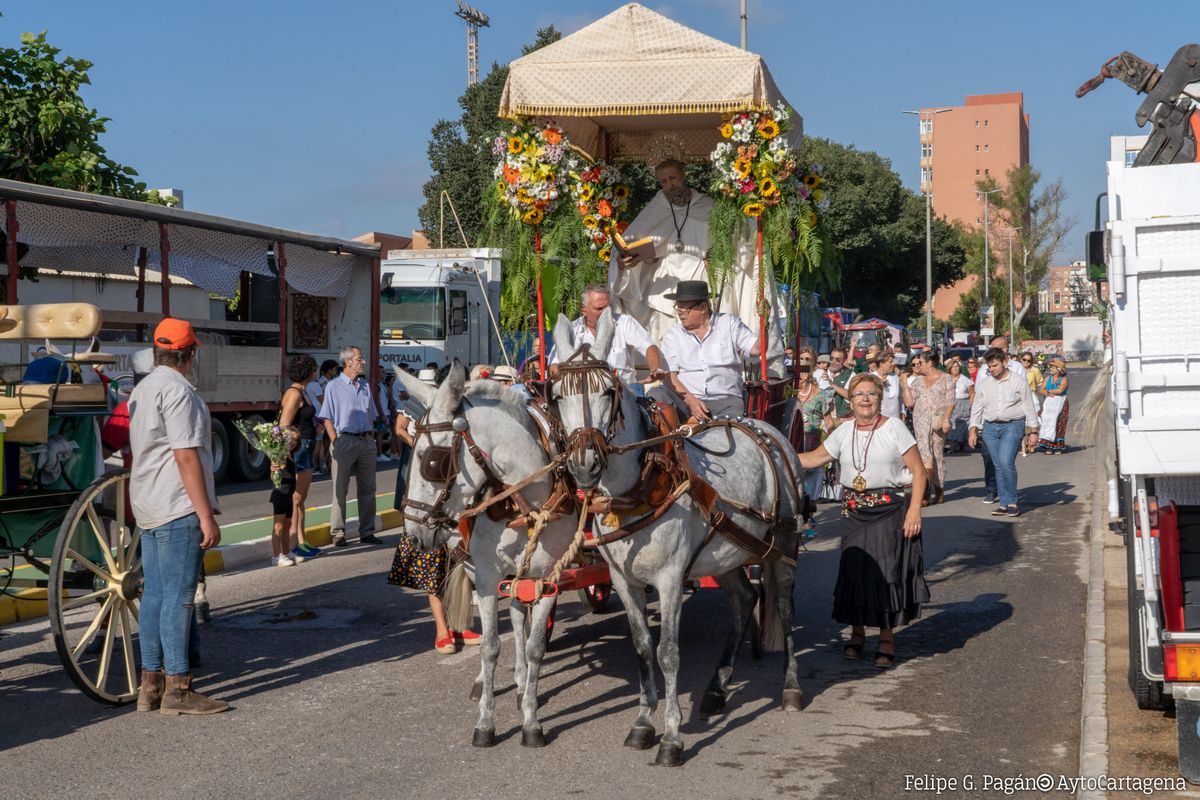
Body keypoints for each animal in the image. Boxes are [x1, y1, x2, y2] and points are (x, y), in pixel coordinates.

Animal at [393, 362, 576, 753]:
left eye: (432, 461)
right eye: (409, 444)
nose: (412, 535)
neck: (524, 501)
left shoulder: (547, 577)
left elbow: (535, 646)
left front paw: (531, 721)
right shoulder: (489, 576)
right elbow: (490, 647)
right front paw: (485, 723)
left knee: (519, 617)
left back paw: (523, 684)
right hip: (471, 563)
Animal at [552, 309, 806, 767]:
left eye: (609, 392)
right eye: (557, 394)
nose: (583, 466)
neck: (636, 487)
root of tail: (761, 427)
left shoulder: (670, 578)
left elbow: (668, 652)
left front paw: (671, 736)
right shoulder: (624, 580)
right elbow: (641, 648)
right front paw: (642, 724)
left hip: (782, 545)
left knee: (782, 605)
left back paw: (791, 688)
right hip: (726, 553)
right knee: (743, 600)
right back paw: (717, 689)